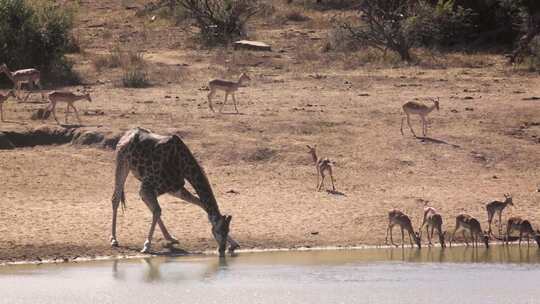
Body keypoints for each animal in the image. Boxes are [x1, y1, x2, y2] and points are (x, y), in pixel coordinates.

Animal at [110, 127, 239, 255]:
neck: (181, 163)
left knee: (148, 205)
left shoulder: (174, 188)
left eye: (227, 230)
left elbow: (200, 203)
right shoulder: (147, 186)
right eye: (219, 231)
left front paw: (233, 244)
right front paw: (146, 246)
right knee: (115, 198)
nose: (222, 249)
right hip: (122, 162)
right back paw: (113, 239)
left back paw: (170, 237)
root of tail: (126, 135)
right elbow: (157, 210)